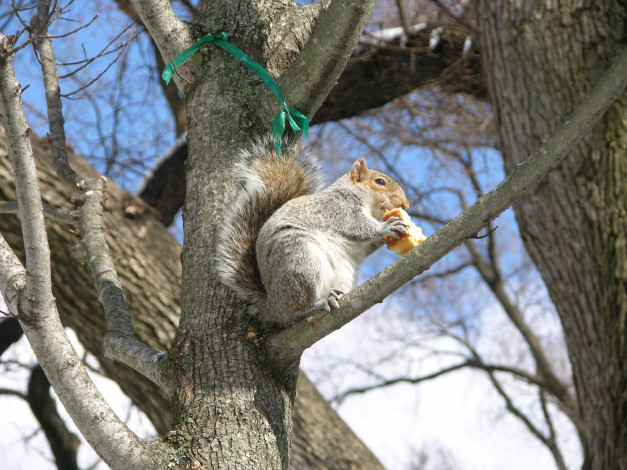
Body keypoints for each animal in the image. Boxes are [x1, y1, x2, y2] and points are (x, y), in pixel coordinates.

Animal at [216, 140, 412, 326]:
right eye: (380, 182)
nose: (405, 204)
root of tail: (272, 307)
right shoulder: (339, 208)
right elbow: (358, 227)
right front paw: (385, 227)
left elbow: (367, 245)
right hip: (300, 261)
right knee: (297, 310)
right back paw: (318, 304)